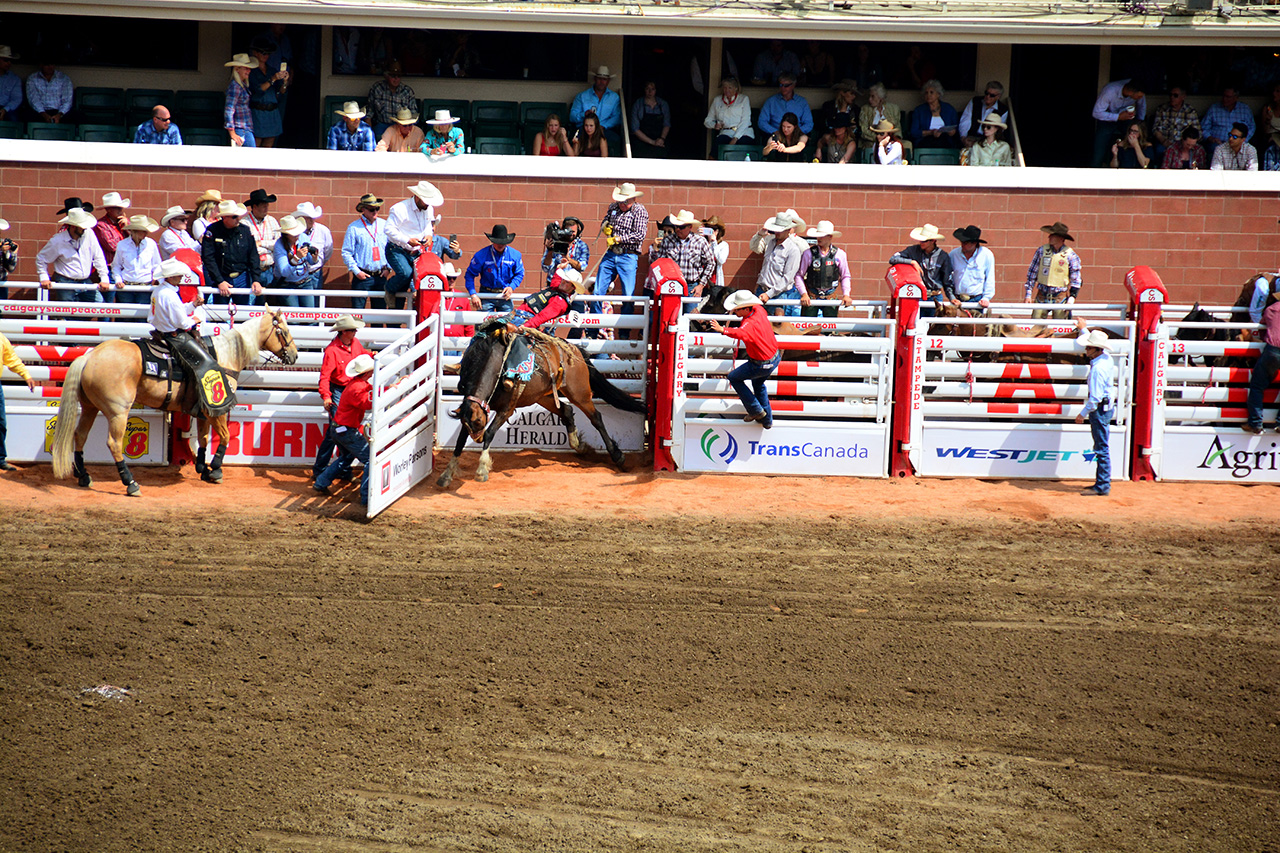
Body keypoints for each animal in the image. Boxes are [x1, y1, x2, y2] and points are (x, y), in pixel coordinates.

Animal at [51, 307, 298, 491]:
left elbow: (204, 438)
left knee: (80, 435)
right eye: (284, 331)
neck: (224, 355)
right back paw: (130, 483)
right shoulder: (215, 407)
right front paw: (216, 469)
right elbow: (226, 436)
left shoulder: (204, 410)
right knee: (113, 443)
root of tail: (90, 356)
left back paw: (84, 476)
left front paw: (203, 469)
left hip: (90, 406)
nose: (295, 356)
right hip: (118, 411)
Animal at [440, 318, 645, 489]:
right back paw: (580, 446)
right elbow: (460, 440)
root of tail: (573, 348)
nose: (477, 438)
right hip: (542, 396)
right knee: (566, 410)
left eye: (477, 423)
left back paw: (617, 455)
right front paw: (447, 474)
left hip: (579, 393)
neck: (495, 361)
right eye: (471, 423)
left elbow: (490, 432)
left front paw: (482, 469)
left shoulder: (507, 408)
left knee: (596, 417)